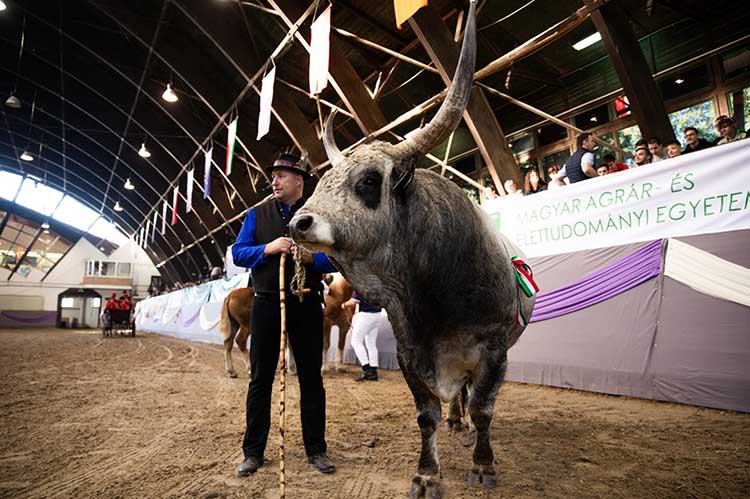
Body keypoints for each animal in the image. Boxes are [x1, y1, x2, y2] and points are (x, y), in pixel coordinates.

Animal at [290, 1, 536, 498]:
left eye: (369, 181)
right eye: (321, 183)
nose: (298, 223)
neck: (431, 290)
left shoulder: (494, 349)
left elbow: (485, 408)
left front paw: (483, 465)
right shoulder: (410, 351)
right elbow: (427, 415)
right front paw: (426, 473)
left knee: (472, 398)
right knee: (457, 398)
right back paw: (457, 422)